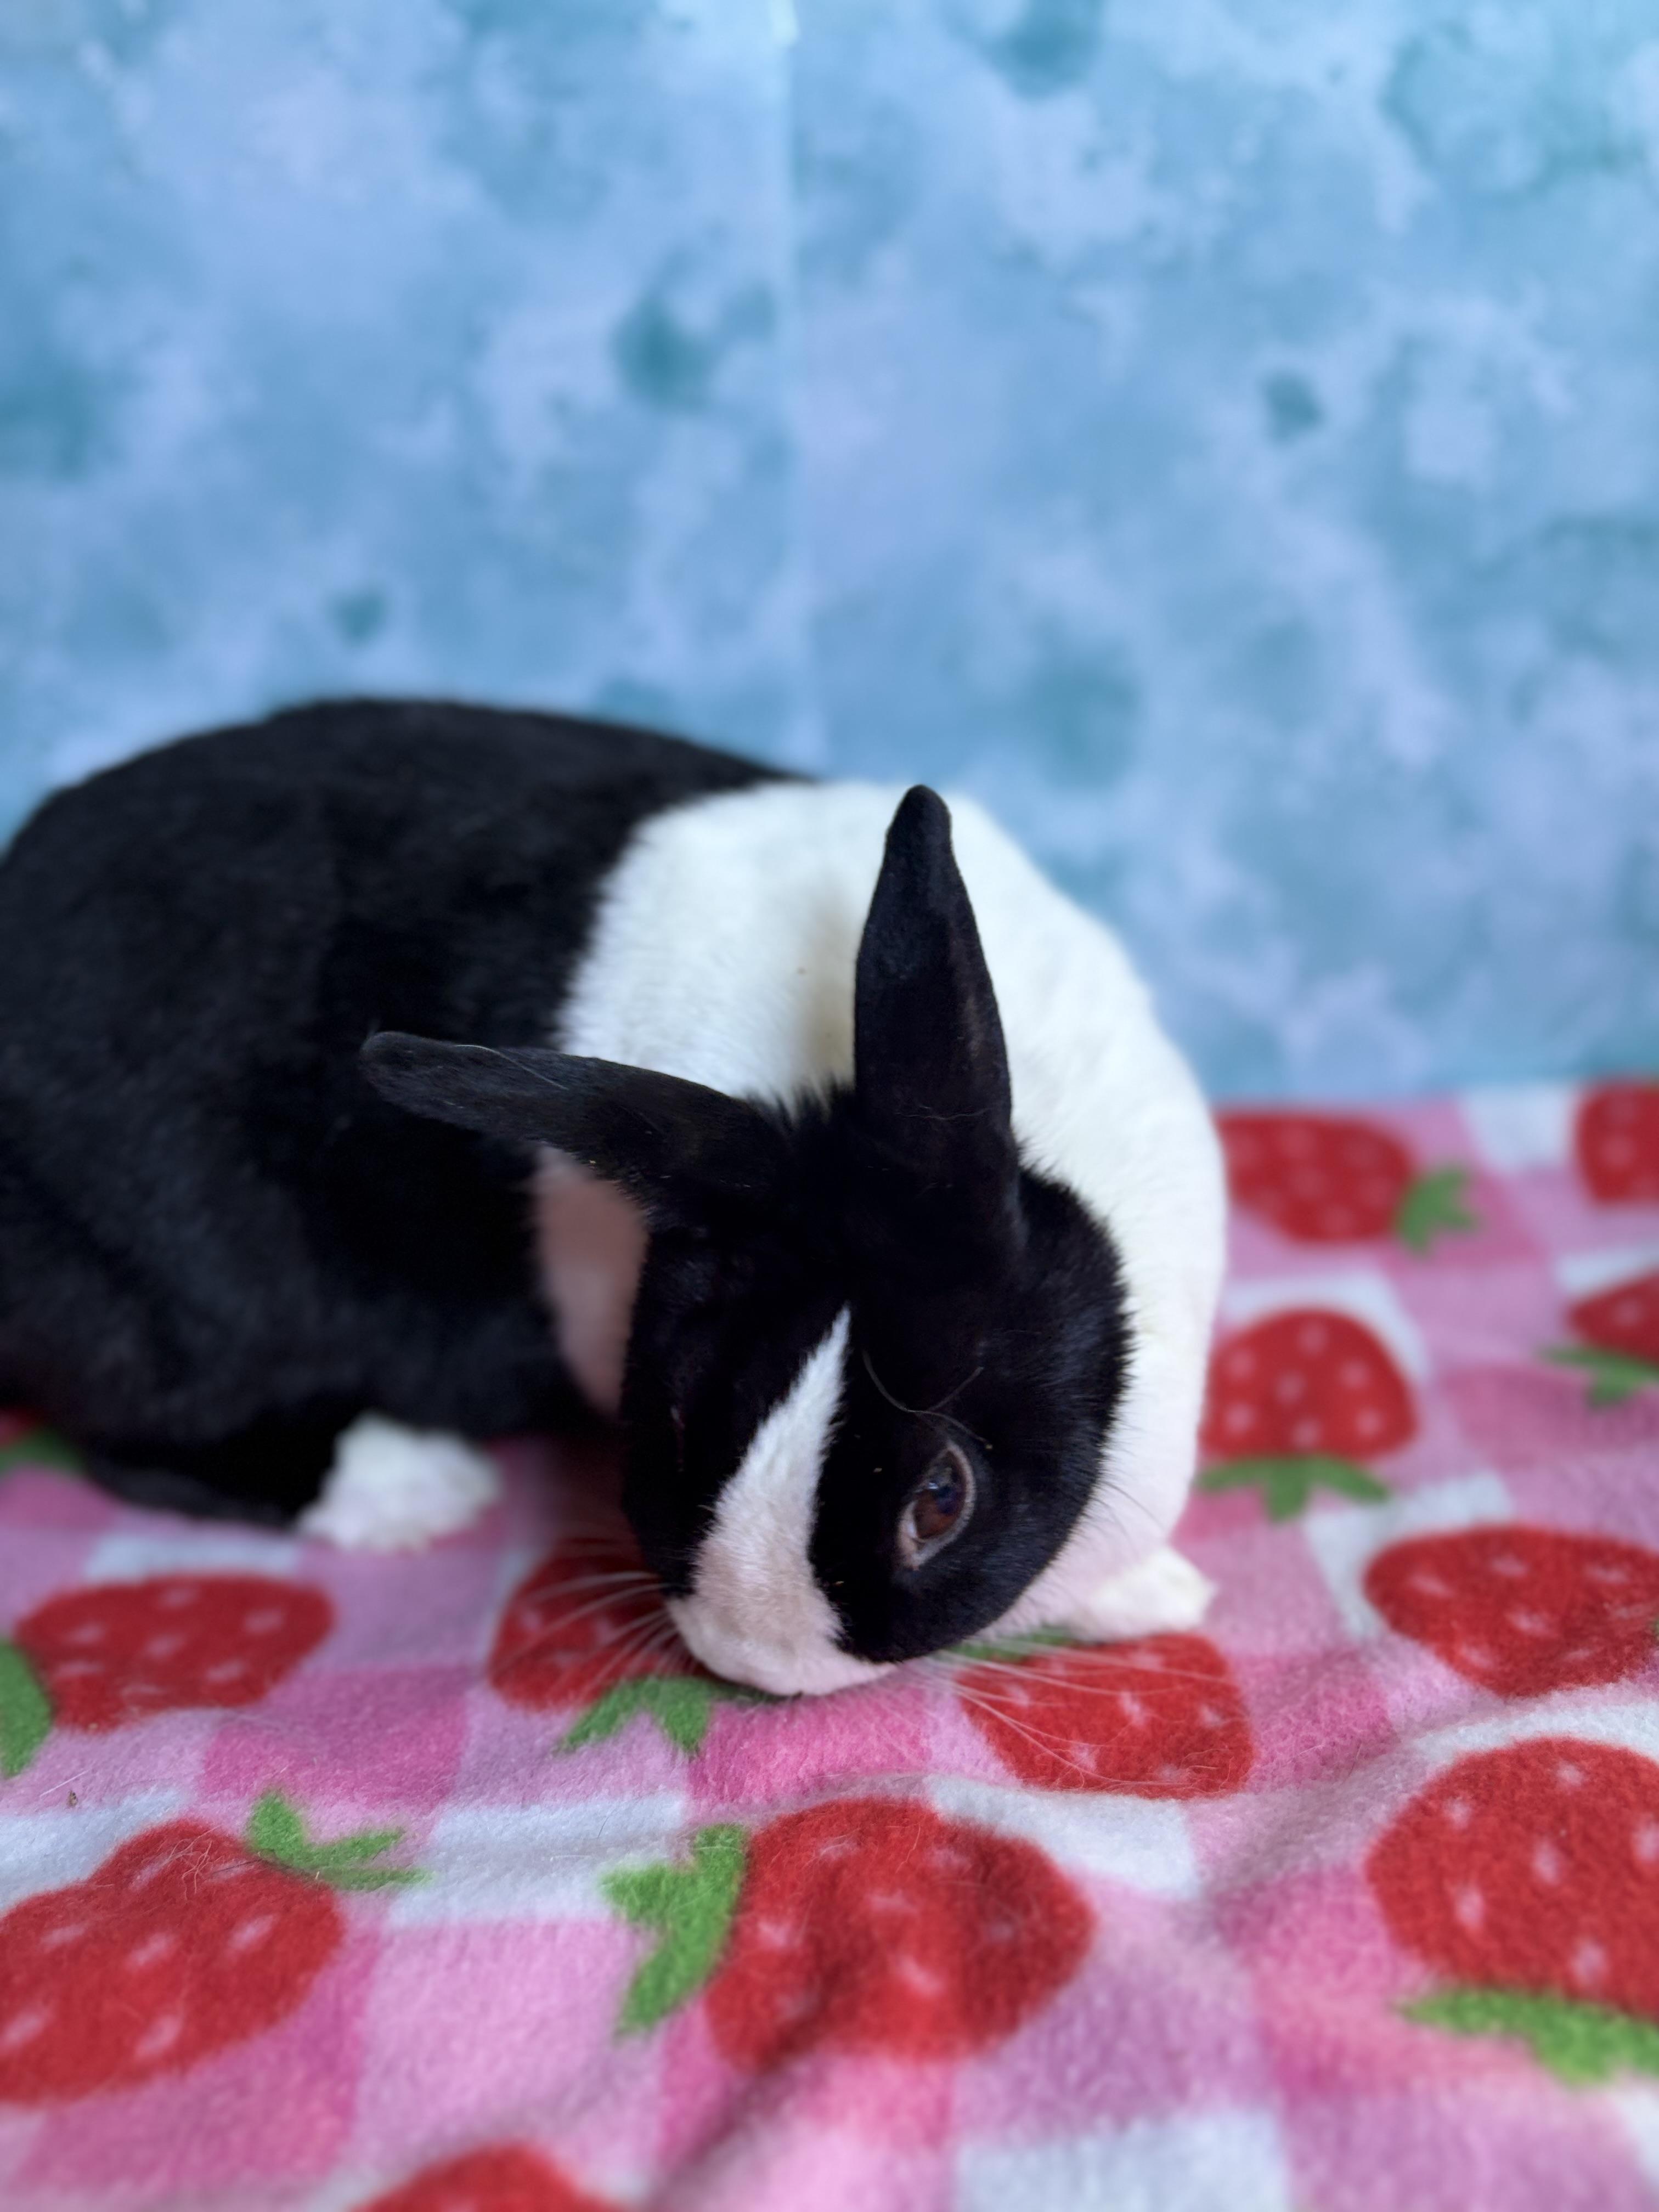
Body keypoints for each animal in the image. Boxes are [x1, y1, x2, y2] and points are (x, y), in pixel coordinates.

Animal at [0, 697, 1226, 1695]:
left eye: (941, 1497)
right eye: (675, 1413)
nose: (758, 1663)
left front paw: (1157, 1595)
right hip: (179, 1304)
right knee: (144, 1439)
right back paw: (416, 1485)